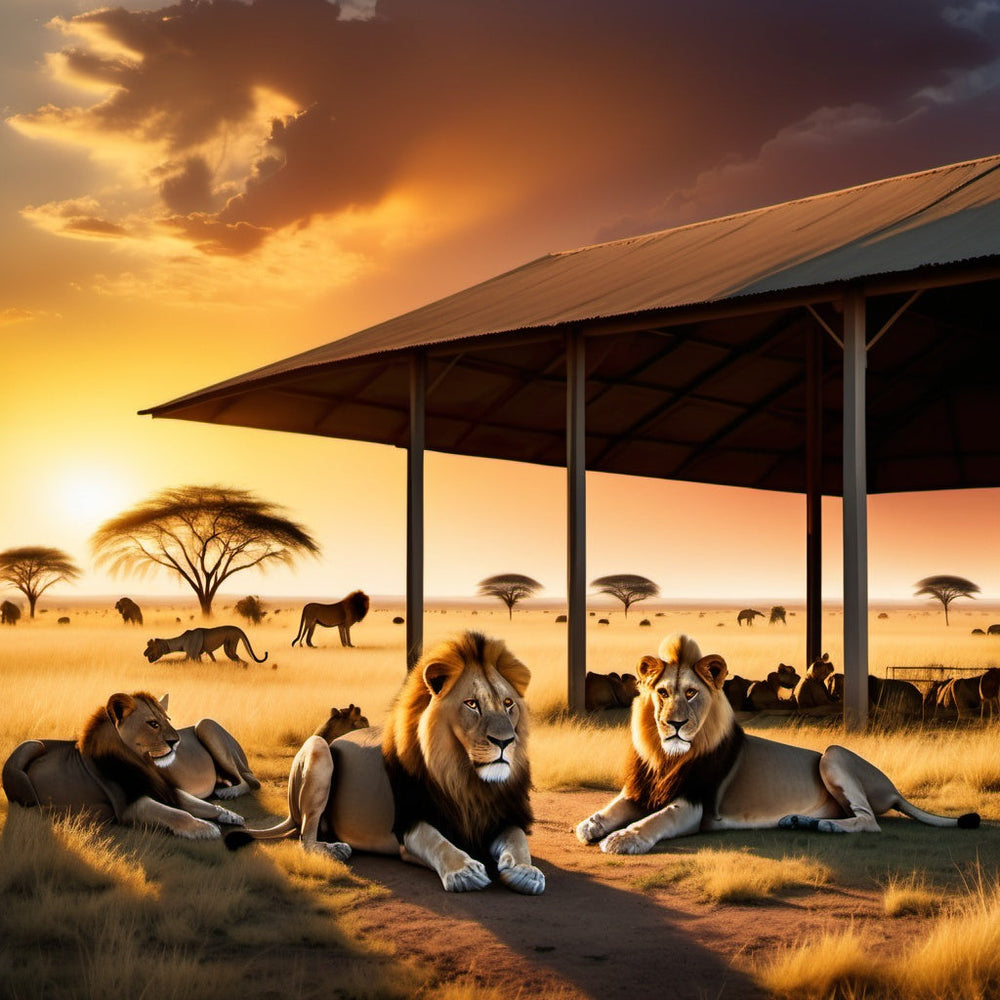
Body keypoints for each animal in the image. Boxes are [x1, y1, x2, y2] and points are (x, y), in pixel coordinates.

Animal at [1, 692, 248, 838]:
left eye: (168, 720)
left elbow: (199, 805)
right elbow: (178, 815)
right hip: (27, 749)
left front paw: (229, 815)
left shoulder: (165, 789)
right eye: (153, 724)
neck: (142, 763)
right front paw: (206, 828)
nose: (176, 741)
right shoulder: (129, 805)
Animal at [226, 631, 544, 894]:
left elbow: (518, 841)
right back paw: (335, 849)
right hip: (318, 750)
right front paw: (464, 871)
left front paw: (526, 871)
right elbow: (438, 842)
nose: (505, 741)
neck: (467, 779)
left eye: (508, 704)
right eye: (472, 704)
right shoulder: (408, 823)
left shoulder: (503, 816)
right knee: (305, 838)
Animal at [575, 634, 980, 854]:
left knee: (867, 821)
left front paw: (622, 839)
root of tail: (893, 789)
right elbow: (613, 807)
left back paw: (825, 828)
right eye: (661, 693)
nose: (675, 725)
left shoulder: (693, 805)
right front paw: (590, 824)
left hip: (833, 754)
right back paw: (800, 821)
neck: (666, 755)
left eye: (691, 693)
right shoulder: (641, 789)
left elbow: (656, 820)